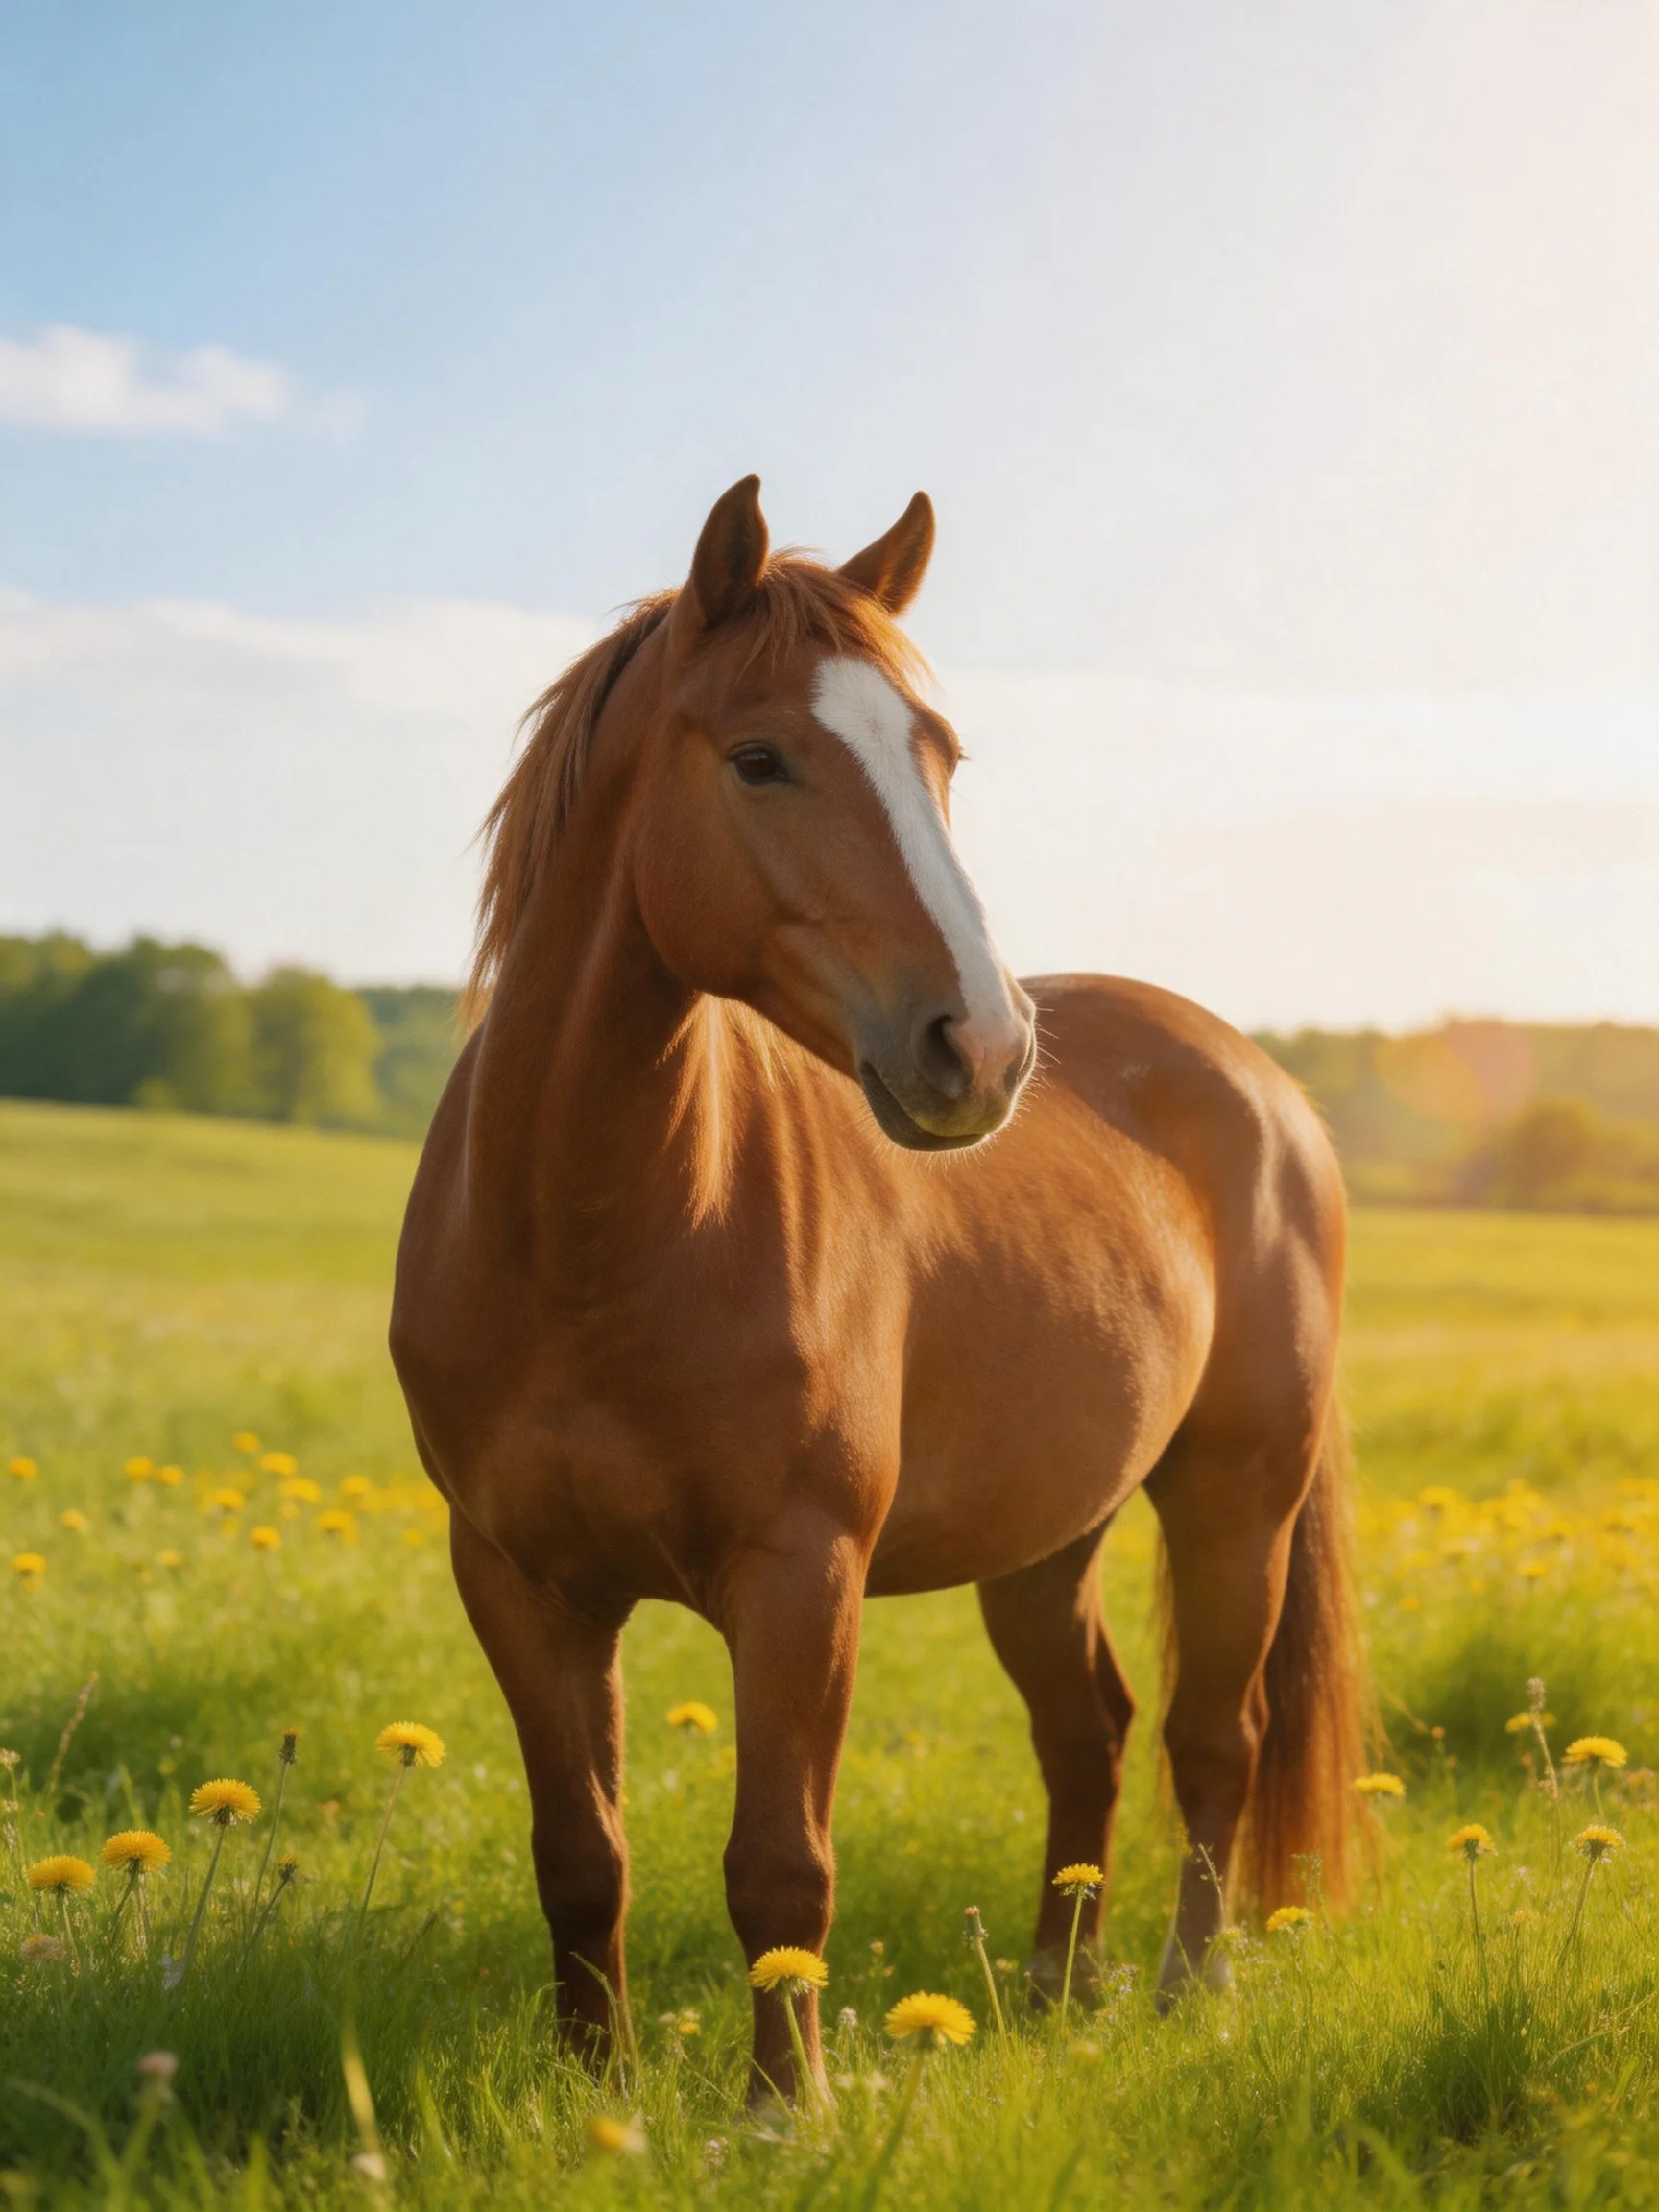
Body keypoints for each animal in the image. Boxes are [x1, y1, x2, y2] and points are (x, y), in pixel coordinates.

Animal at [391, 476, 1367, 2102]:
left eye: (939, 754)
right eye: (760, 758)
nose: (982, 1047)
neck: (588, 1239)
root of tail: (1262, 1084)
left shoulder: (802, 1577)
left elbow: (782, 1869)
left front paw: (784, 2112)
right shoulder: (521, 1582)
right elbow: (581, 1856)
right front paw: (601, 2098)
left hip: (1238, 1494)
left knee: (1212, 1740)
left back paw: (1186, 1988)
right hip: (1048, 1536)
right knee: (1089, 1734)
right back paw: (1056, 1985)